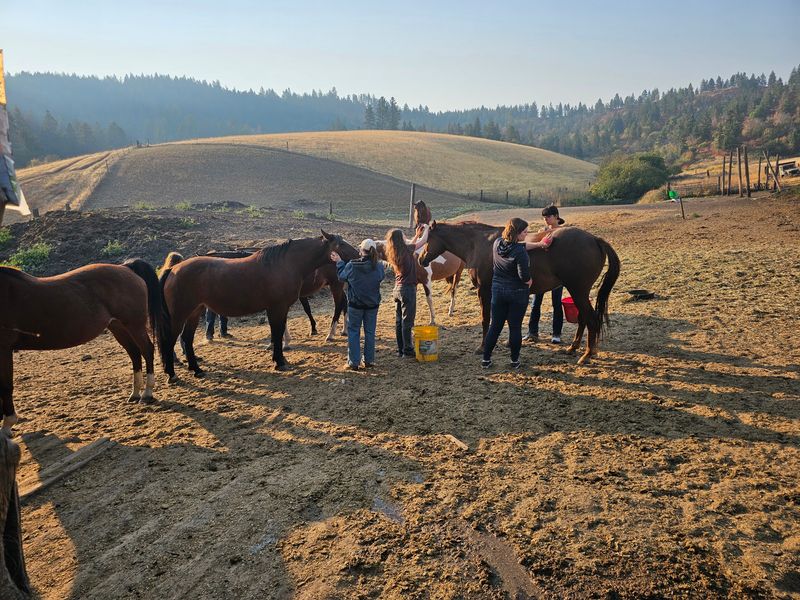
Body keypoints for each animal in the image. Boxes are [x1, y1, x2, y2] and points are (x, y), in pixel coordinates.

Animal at [0, 259, 163, 433]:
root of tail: (125, 267)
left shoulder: (4, 349)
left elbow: (6, 386)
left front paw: (7, 425)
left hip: (134, 325)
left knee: (147, 350)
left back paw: (147, 393)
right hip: (118, 327)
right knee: (134, 353)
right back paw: (135, 393)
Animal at [157, 231, 342, 377]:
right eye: (340, 244)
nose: (350, 257)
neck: (284, 264)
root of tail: (173, 270)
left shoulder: (278, 308)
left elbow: (278, 331)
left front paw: (280, 357)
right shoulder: (277, 308)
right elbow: (277, 332)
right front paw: (279, 360)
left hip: (193, 312)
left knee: (186, 339)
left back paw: (196, 369)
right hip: (180, 315)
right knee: (172, 340)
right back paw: (172, 373)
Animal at [419, 221, 620, 364]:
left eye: (427, 240)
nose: (421, 259)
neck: (478, 244)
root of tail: (594, 239)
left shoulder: (484, 291)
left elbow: (486, 320)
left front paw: (483, 347)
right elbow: (508, 320)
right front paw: (509, 343)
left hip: (578, 291)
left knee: (591, 319)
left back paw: (587, 355)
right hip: (579, 293)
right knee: (583, 319)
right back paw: (574, 348)